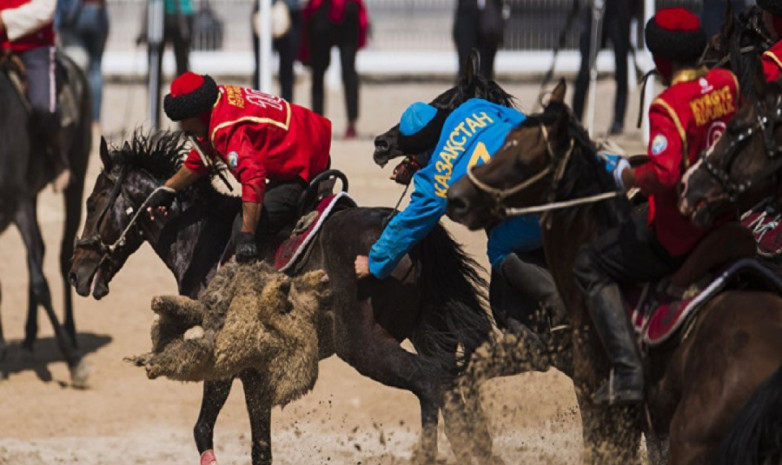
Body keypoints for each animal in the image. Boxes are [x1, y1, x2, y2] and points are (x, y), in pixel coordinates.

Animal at [0, 49, 91, 384]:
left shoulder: (18, 203)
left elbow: (41, 283)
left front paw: (74, 361)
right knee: (37, 252)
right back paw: (27, 338)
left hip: (76, 179)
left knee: (64, 255)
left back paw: (71, 335)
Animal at [69, 128, 502, 464]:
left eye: (91, 203)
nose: (76, 272)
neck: (205, 237)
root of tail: (410, 231)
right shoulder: (255, 370)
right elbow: (257, 444)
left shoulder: (226, 360)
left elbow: (206, 430)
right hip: (431, 334)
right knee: (451, 390)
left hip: (365, 346)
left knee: (430, 384)